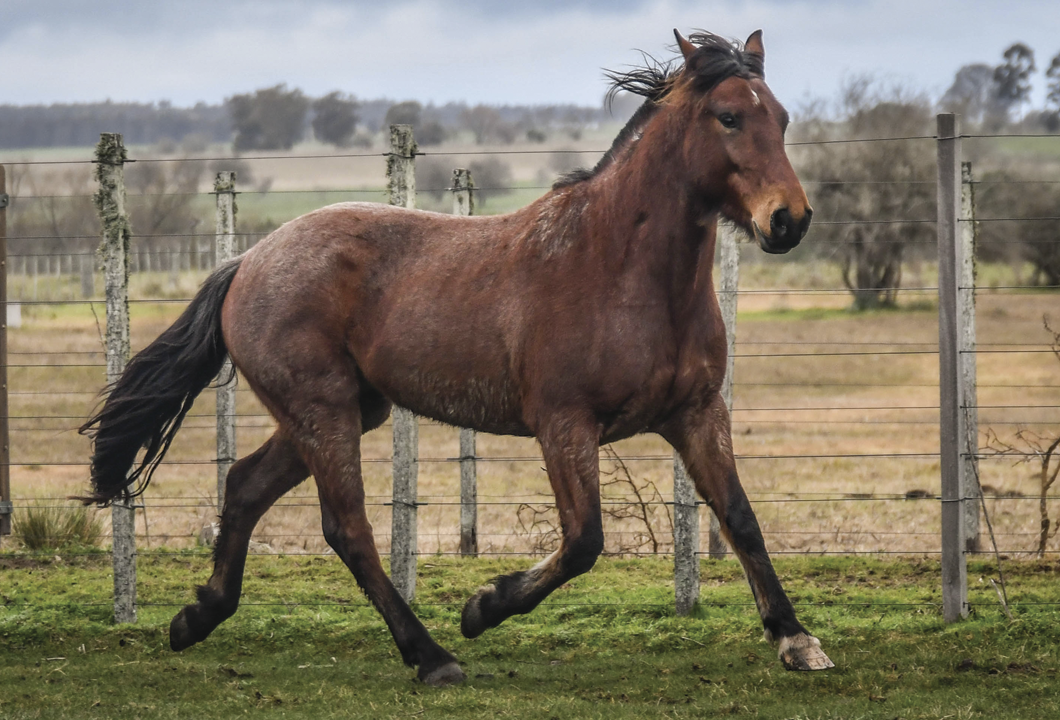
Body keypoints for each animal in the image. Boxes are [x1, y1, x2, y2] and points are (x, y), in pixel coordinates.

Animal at [78, 31, 831, 691]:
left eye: (782, 118)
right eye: (728, 116)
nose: (789, 220)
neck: (619, 266)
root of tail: (248, 262)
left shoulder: (696, 414)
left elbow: (739, 516)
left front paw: (796, 639)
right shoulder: (565, 425)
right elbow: (583, 540)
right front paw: (483, 606)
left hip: (339, 412)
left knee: (244, 487)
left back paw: (195, 618)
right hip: (324, 413)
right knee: (347, 528)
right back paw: (432, 655)